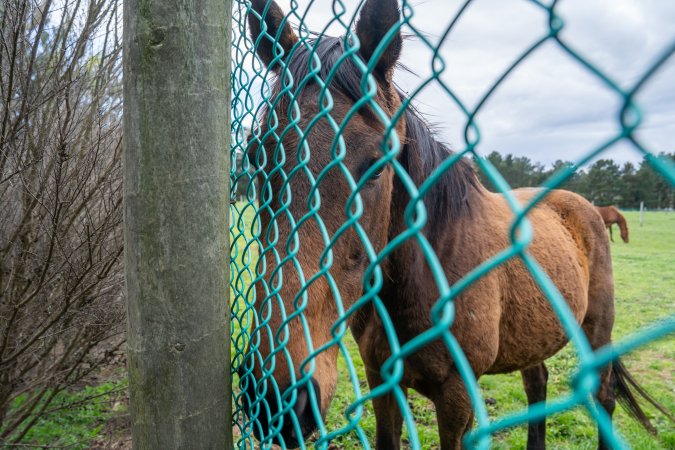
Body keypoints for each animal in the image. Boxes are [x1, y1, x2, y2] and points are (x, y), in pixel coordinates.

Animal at [239, 1, 669, 448]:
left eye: (376, 164)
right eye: (255, 156)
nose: (275, 400)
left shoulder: (457, 396)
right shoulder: (382, 380)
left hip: (597, 331)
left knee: (604, 398)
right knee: (537, 383)